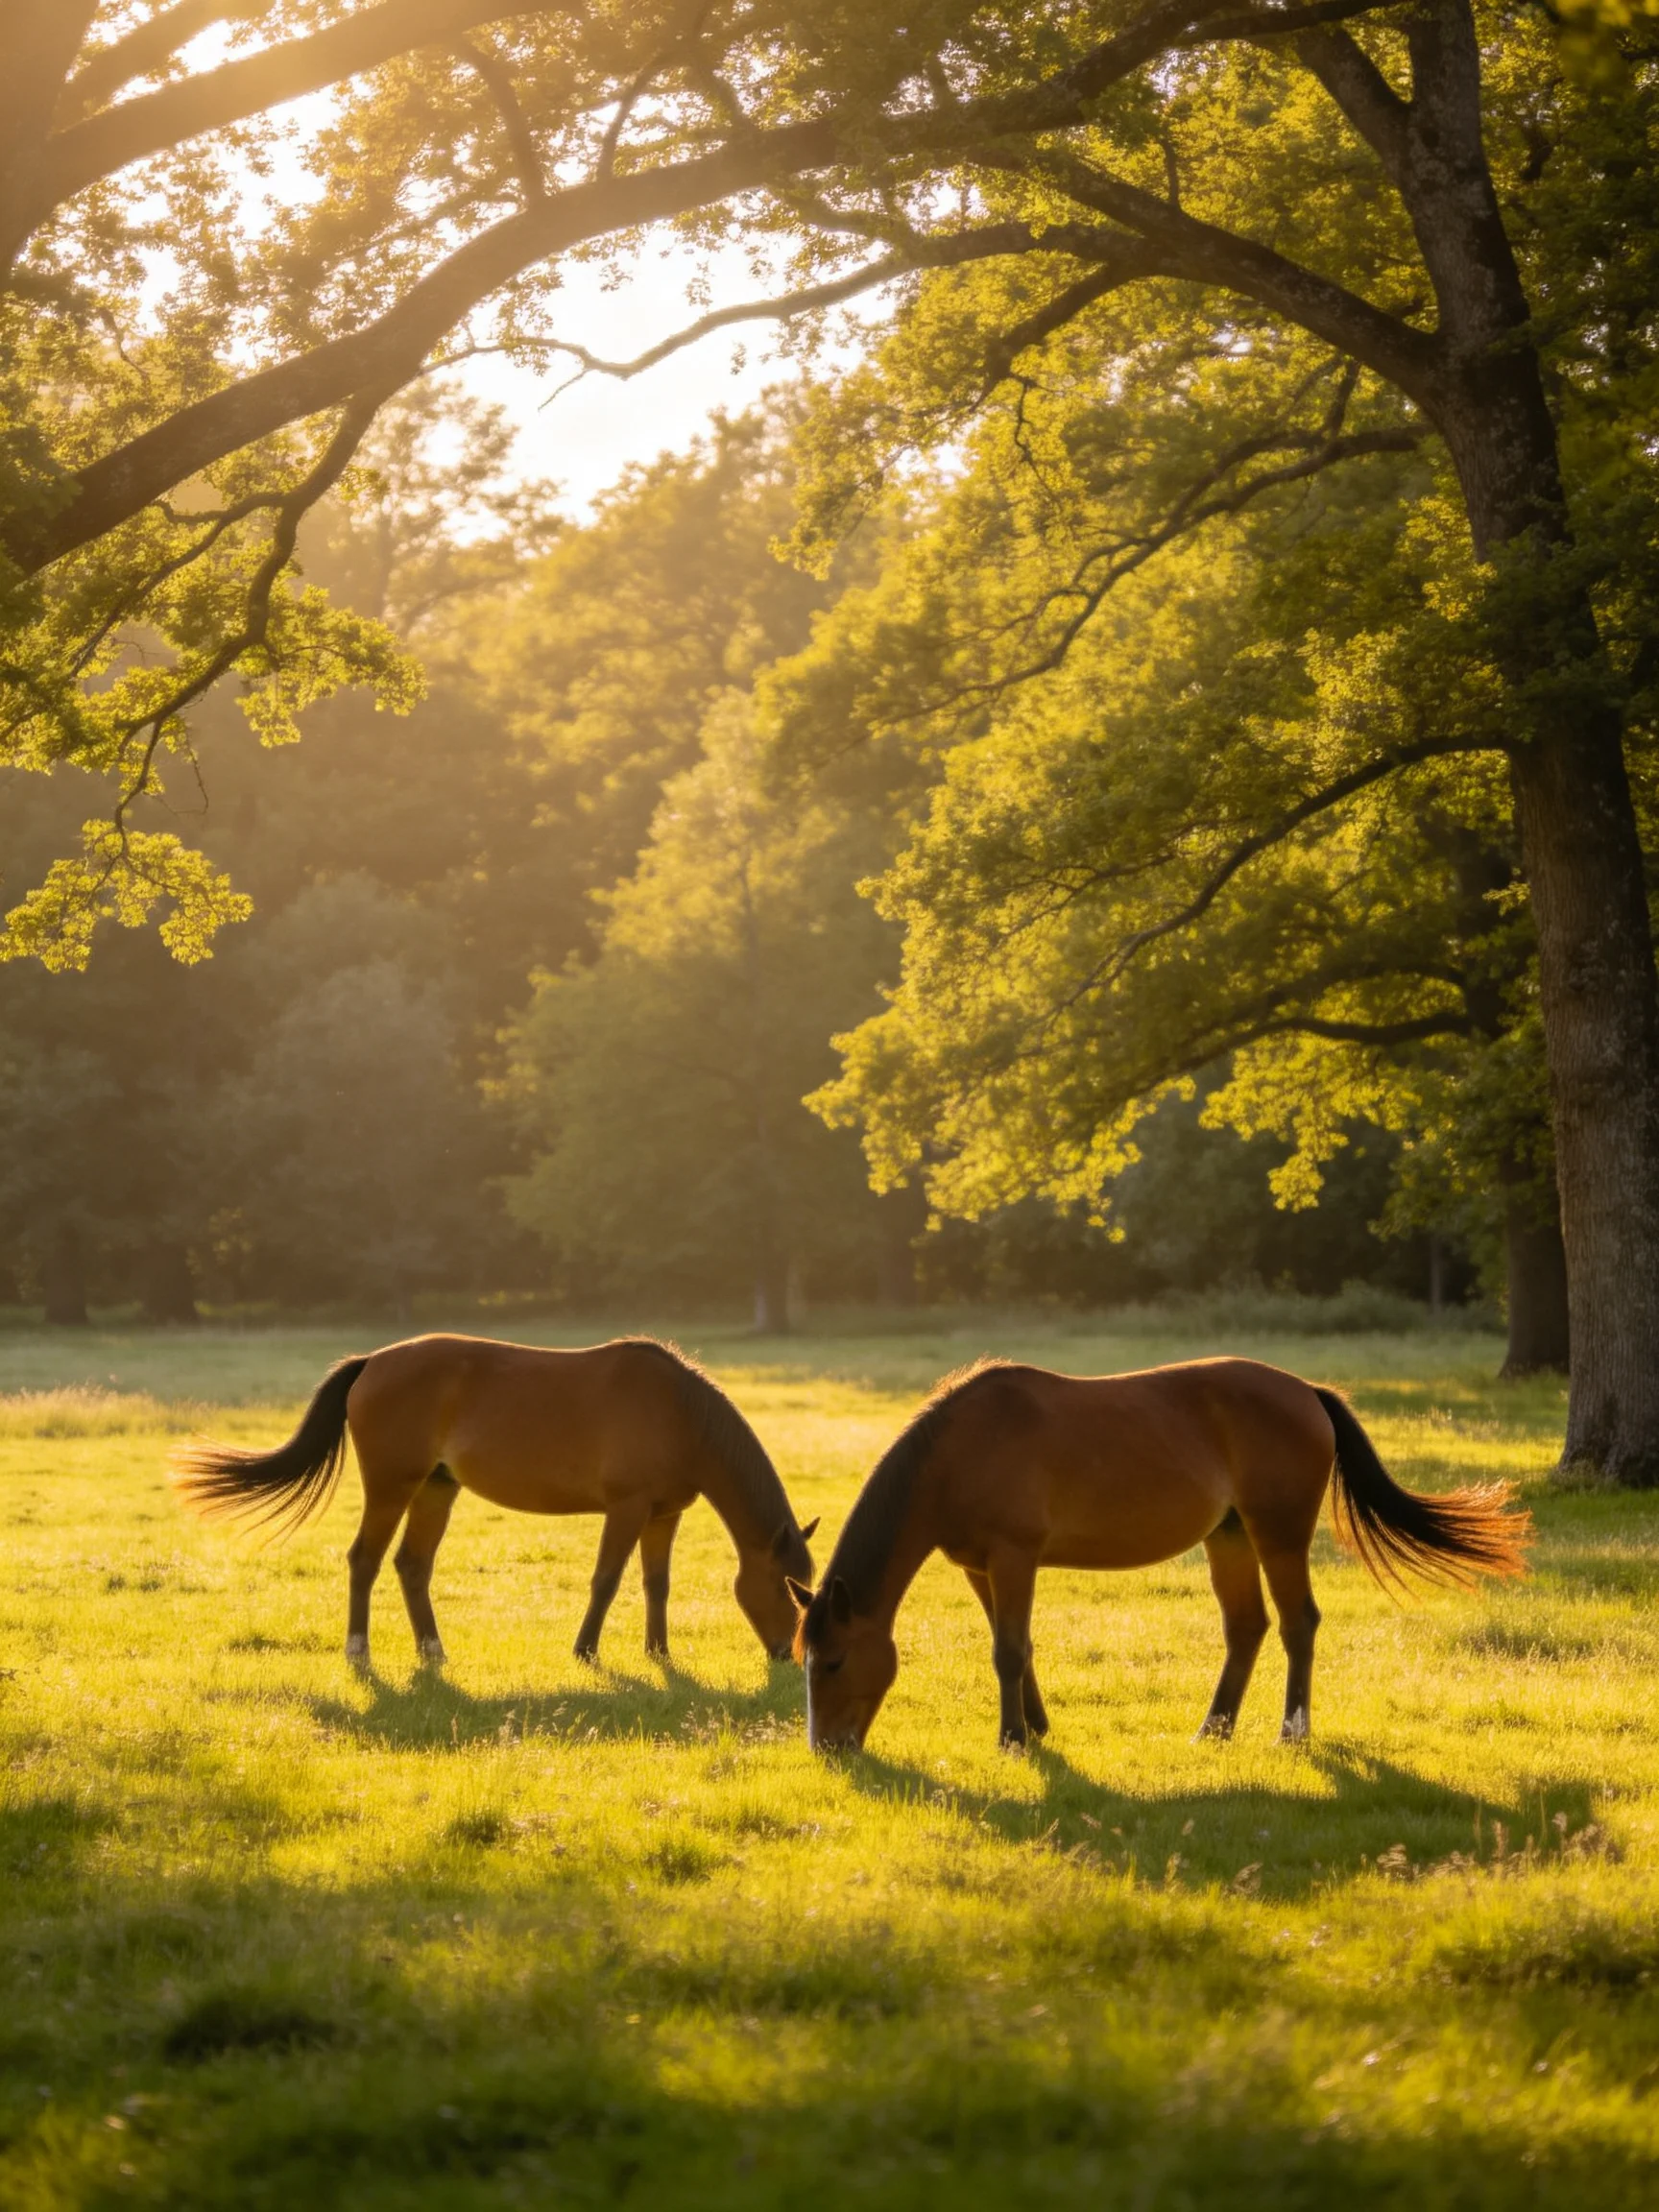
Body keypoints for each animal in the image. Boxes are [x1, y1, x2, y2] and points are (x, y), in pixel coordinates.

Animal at [174, 1334, 817, 1669]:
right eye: (787, 1586)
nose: (790, 1654)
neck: (679, 1413)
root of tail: (371, 1363)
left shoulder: (663, 1513)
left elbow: (655, 1583)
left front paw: (658, 1652)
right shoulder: (627, 1508)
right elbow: (606, 1580)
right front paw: (586, 1652)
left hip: (435, 1489)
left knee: (412, 1565)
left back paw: (433, 1651)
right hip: (392, 1487)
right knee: (365, 1560)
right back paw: (358, 1651)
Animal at [789, 1356, 1529, 1752]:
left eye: (835, 1661)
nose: (829, 1751)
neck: (958, 1451)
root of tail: (1308, 1392)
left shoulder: (1013, 1556)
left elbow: (1009, 1649)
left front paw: (1012, 1739)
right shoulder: (979, 1566)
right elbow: (1015, 1646)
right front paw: (1037, 1726)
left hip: (1278, 1533)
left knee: (1299, 1624)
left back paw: (1291, 1731)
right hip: (1229, 1536)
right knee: (1247, 1628)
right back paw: (1214, 1728)